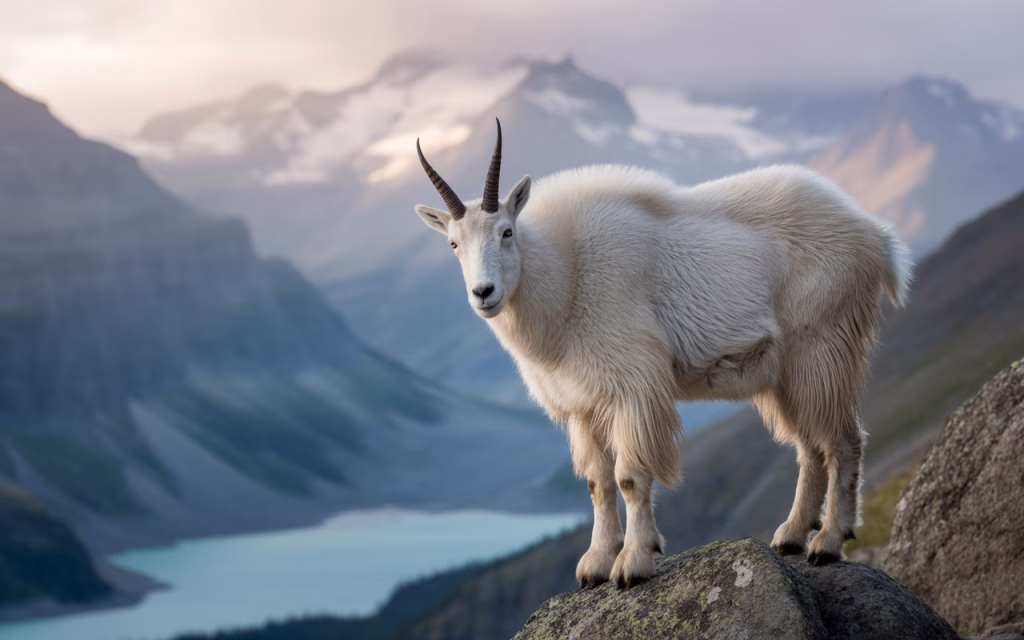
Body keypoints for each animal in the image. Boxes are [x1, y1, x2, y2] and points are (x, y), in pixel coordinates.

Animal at [413, 120, 913, 588]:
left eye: (506, 232)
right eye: (453, 244)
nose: (484, 293)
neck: (567, 276)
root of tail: (874, 235)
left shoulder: (634, 386)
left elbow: (630, 477)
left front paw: (632, 564)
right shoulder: (583, 406)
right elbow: (597, 482)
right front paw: (596, 564)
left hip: (823, 347)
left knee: (843, 440)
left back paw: (828, 542)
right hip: (784, 372)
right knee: (809, 445)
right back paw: (790, 535)